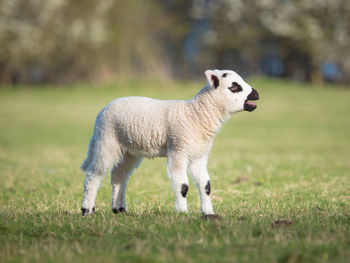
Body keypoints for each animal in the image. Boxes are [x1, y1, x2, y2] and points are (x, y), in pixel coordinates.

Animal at [80, 69, 258, 219]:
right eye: (234, 87)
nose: (256, 94)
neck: (196, 115)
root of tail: (103, 110)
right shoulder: (179, 149)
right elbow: (183, 186)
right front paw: (182, 213)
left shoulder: (199, 155)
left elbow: (206, 185)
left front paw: (209, 213)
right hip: (106, 141)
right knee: (93, 174)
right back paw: (87, 209)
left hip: (129, 150)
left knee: (119, 176)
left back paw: (119, 209)